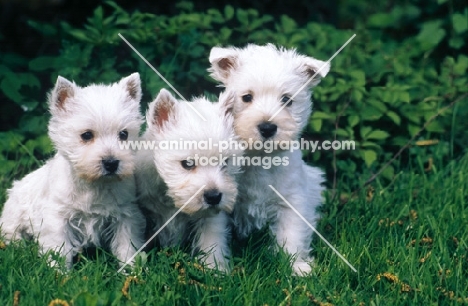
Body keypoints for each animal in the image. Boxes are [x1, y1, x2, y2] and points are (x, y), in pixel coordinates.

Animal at [0, 74, 145, 270]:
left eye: (124, 134)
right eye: (86, 135)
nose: (111, 163)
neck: (94, 185)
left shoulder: (125, 215)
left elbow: (127, 245)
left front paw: (133, 271)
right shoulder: (58, 218)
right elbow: (58, 248)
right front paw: (58, 273)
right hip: (13, 219)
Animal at [133, 89, 239, 272]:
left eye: (225, 162)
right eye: (187, 164)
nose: (214, 197)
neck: (170, 199)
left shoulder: (210, 217)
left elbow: (212, 241)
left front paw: (216, 270)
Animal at [208, 43, 330, 274]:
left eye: (287, 100)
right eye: (247, 97)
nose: (267, 127)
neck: (260, 158)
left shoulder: (292, 199)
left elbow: (292, 234)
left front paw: (297, 267)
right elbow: (214, 235)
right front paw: (215, 267)